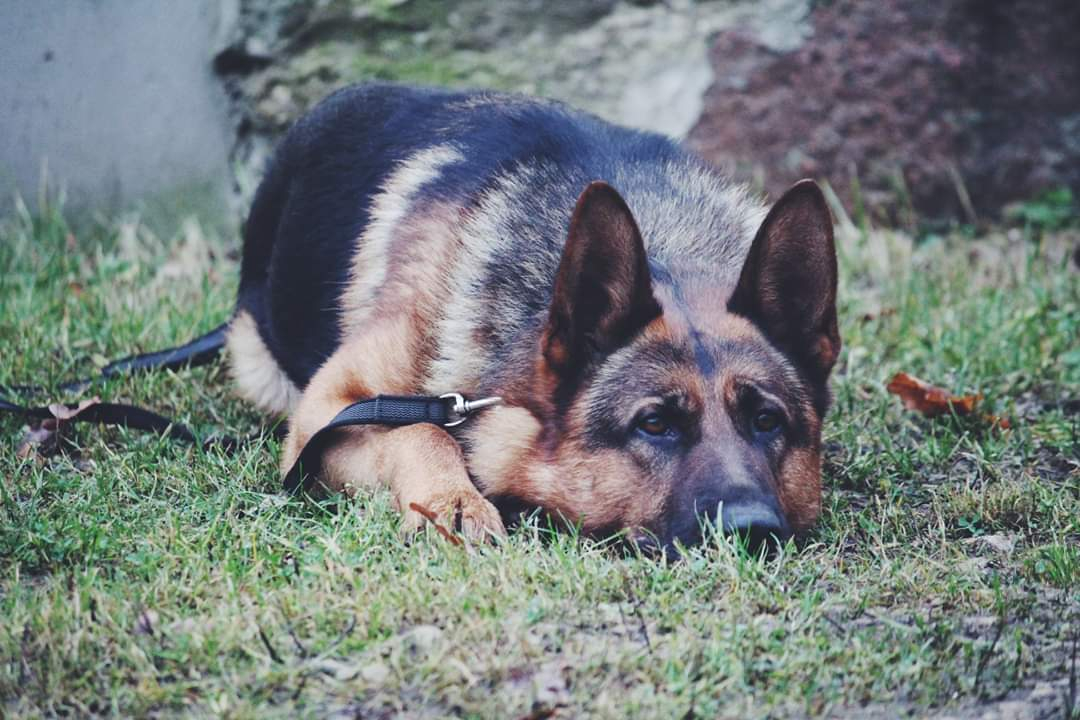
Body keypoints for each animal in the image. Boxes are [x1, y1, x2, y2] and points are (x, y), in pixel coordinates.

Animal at [223, 83, 838, 552]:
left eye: (768, 421)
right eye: (654, 424)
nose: (753, 530)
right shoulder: (325, 411)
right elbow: (422, 429)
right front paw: (454, 501)